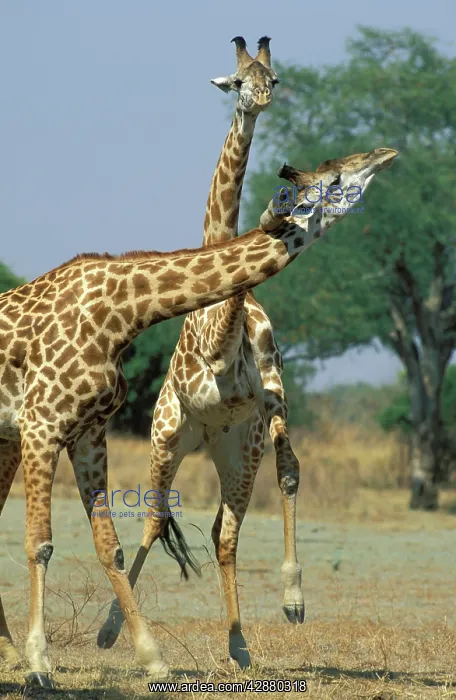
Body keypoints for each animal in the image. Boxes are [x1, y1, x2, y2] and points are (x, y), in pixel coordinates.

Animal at [96, 148, 398, 673]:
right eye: (333, 179)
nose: (383, 155)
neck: (225, 333)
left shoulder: (272, 395)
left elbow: (290, 470)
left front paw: (292, 600)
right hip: (169, 438)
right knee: (158, 519)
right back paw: (112, 628)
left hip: (237, 454)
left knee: (226, 531)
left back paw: (240, 641)